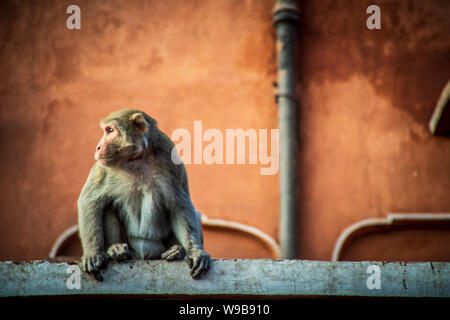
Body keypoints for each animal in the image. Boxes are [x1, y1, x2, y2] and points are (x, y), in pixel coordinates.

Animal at [77, 108, 211, 280]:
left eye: (110, 130)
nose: (98, 147)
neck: (137, 159)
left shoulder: (169, 156)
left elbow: (180, 206)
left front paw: (195, 252)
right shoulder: (102, 165)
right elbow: (90, 201)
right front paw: (93, 254)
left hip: (158, 249)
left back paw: (177, 251)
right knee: (107, 206)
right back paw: (117, 250)